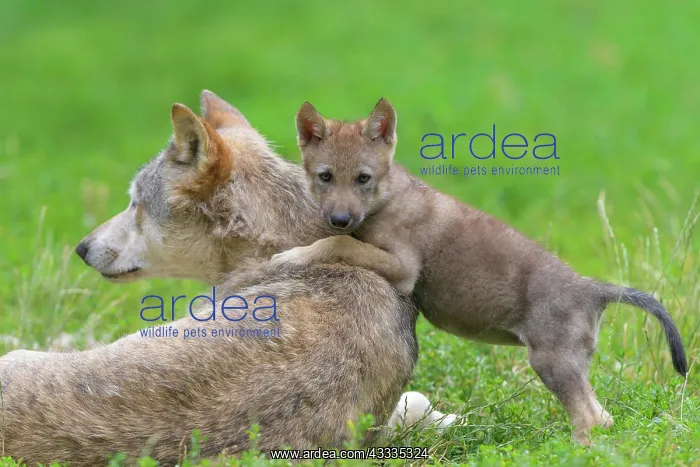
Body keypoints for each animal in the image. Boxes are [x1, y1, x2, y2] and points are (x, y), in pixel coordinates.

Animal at [269, 98, 688, 444]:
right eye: (325, 176)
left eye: (363, 178)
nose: (340, 218)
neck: (388, 197)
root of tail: (592, 287)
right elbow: (343, 241)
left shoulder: (403, 267)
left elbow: (339, 244)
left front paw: (291, 256)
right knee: (601, 417)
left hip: (552, 362)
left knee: (593, 419)